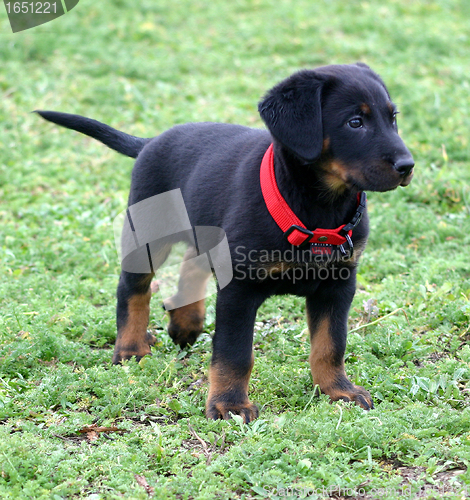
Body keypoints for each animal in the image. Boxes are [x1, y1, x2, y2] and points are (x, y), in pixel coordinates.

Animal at [36, 62, 414, 422]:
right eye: (355, 123)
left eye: (393, 118)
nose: (407, 165)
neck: (317, 208)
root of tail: (150, 142)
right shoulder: (239, 290)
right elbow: (234, 353)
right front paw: (229, 405)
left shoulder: (339, 284)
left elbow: (330, 345)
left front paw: (338, 390)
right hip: (147, 236)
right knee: (133, 289)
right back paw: (130, 348)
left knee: (191, 263)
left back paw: (185, 322)